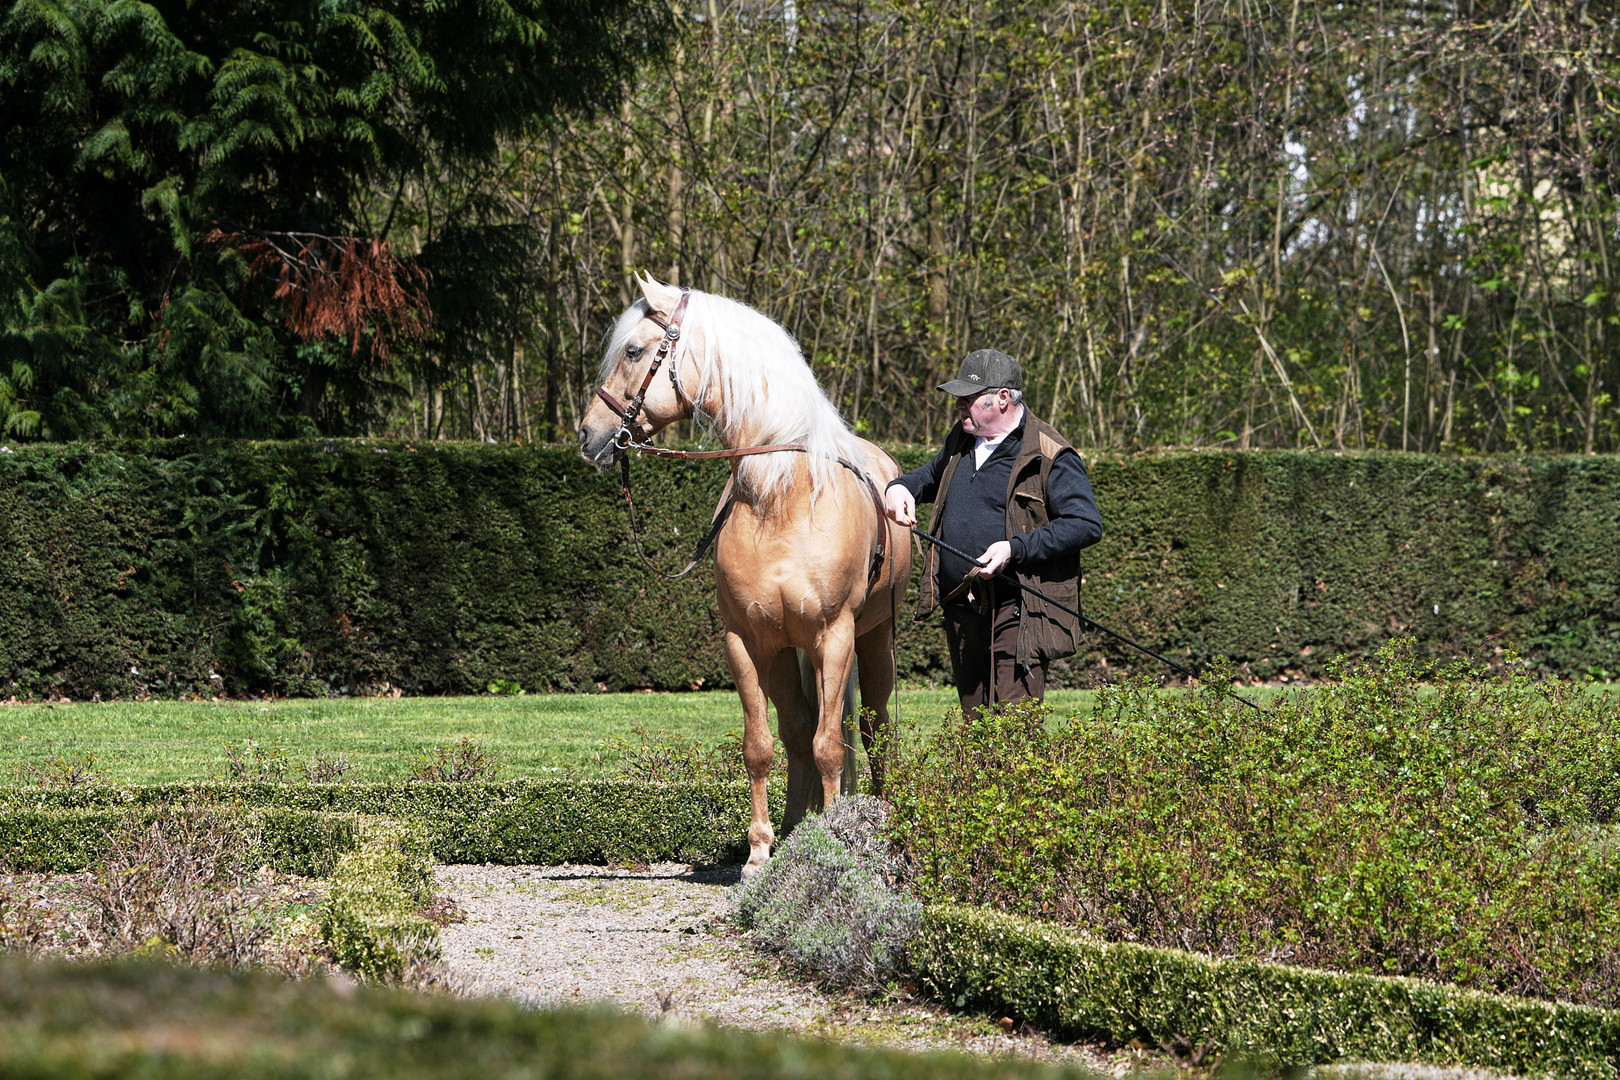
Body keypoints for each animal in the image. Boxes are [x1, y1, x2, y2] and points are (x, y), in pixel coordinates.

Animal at [579, 275, 913, 874]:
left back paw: (875, 819)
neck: (782, 494)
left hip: (874, 641)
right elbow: (762, 745)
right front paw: (760, 851)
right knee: (798, 729)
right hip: (785, 653)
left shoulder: (834, 638)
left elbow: (832, 745)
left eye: (634, 351)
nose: (589, 434)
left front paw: (836, 841)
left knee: (872, 730)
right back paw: (795, 827)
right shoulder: (748, 641)